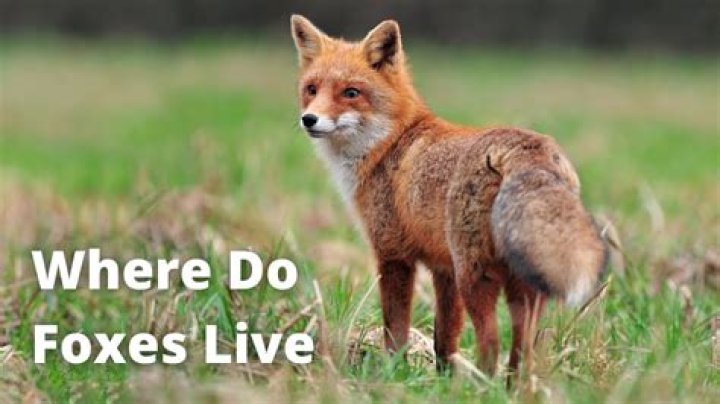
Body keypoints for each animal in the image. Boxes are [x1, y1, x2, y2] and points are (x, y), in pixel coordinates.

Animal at [290, 15, 608, 376]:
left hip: (476, 277)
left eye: (351, 93)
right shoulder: (443, 269)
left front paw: (394, 373)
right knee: (522, 350)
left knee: (491, 343)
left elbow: (395, 329)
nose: (309, 119)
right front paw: (441, 378)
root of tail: (528, 148)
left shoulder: (394, 255)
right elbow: (444, 337)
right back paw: (513, 384)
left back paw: (484, 385)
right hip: (520, 285)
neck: (389, 145)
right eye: (312, 90)